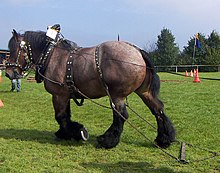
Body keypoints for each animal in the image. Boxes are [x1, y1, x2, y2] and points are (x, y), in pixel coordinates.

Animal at [5, 28, 175, 149]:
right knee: (158, 109)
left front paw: (77, 132)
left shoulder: (58, 95)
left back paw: (107, 140)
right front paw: (67, 132)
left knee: (121, 115)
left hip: (117, 95)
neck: (51, 55)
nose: (8, 73)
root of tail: (138, 52)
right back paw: (165, 138)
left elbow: (60, 116)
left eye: (13, 50)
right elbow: (65, 115)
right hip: (144, 91)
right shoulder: (65, 95)